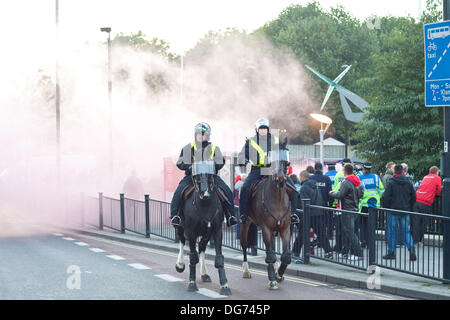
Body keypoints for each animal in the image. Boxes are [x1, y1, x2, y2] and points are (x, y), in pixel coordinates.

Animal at [175, 160, 232, 296]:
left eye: (211, 174)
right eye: (196, 175)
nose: (204, 193)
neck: (205, 205)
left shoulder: (217, 231)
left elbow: (219, 258)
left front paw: (224, 285)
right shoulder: (190, 232)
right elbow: (192, 257)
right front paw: (192, 283)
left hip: (207, 233)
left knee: (201, 247)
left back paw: (204, 273)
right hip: (180, 227)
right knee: (182, 242)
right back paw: (180, 264)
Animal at [239, 145, 292, 290]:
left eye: (286, 162)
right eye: (272, 161)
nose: (279, 179)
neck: (277, 199)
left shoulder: (285, 229)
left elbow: (285, 255)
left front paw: (279, 274)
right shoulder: (266, 228)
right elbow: (270, 255)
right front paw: (272, 280)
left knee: (272, 248)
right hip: (245, 223)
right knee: (244, 245)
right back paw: (246, 271)